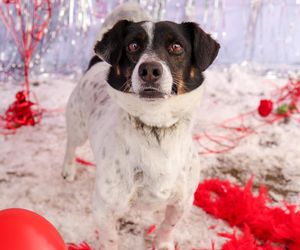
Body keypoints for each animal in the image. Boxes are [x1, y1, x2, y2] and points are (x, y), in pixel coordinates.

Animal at [62, 2, 219, 250]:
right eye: (133, 46)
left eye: (176, 46)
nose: (150, 70)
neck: (155, 128)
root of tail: (96, 63)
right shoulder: (104, 208)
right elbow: (110, 239)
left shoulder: (183, 201)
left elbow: (167, 227)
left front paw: (162, 244)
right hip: (77, 124)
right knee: (71, 144)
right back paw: (68, 169)